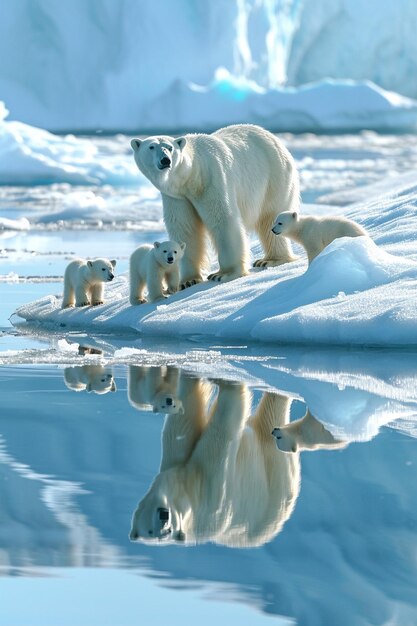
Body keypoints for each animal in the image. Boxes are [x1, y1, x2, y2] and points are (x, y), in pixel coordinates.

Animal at [129, 376, 300, 544]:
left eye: (170, 531)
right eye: (150, 531)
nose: (165, 517)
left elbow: (192, 415)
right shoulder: (207, 489)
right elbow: (211, 423)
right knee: (271, 414)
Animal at [130, 122, 300, 288]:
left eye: (170, 147)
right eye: (151, 147)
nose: (165, 160)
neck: (192, 176)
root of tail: (275, 139)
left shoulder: (211, 180)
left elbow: (222, 219)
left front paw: (224, 274)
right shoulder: (176, 196)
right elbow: (185, 228)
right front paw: (188, 281)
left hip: (274, 177)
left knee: (270, 216)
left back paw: (270, 260)